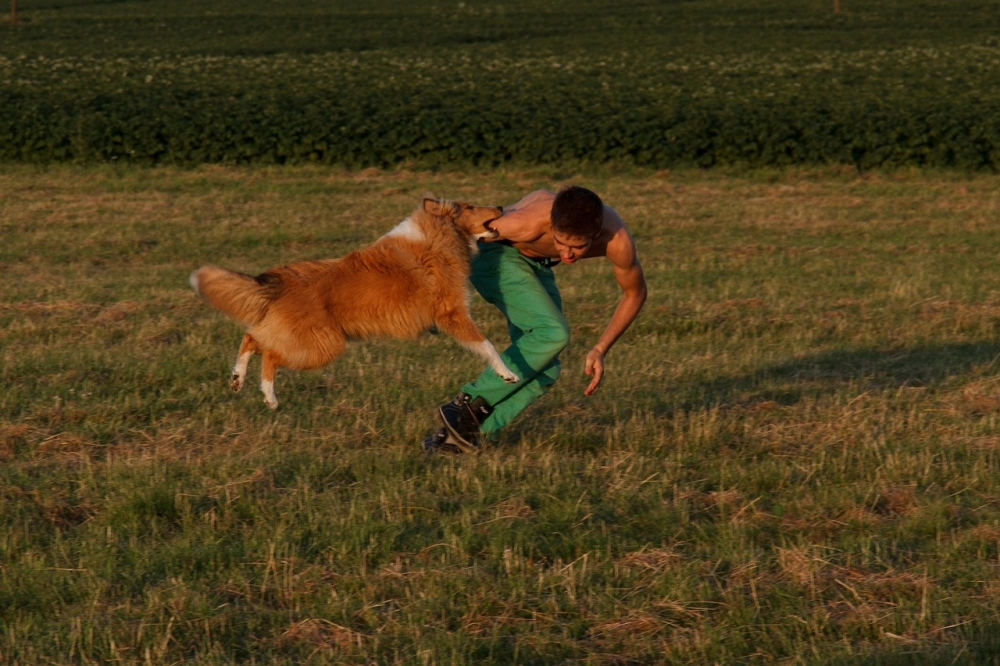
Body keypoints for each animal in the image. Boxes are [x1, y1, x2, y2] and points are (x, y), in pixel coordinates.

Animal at [188, 195, 520, 408]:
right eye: (470, 206)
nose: (501, 206)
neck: (437, 235)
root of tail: (279, 281)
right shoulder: (453, 314)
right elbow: (488, 346)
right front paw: (507, 374)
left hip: (298, 335)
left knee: (252, 338)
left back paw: (237, 378)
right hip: (323, 344)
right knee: (269, 354)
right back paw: (270, 397)